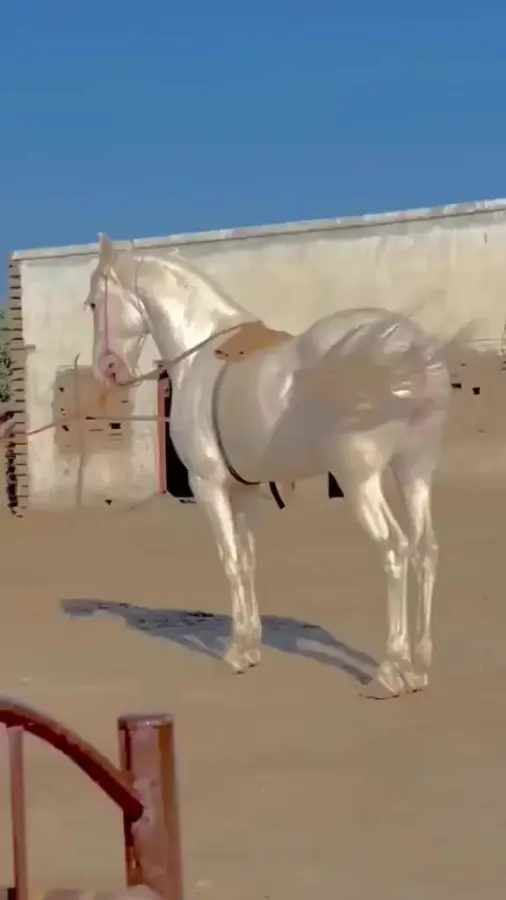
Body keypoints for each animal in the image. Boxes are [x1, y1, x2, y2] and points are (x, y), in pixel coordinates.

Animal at [84, 233, 466, 697]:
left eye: (92, 303)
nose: (107, 370)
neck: (201, 355)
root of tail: (405, 349)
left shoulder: (208, 486)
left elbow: (230, 561)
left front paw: (234, 653)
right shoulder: (246, 491)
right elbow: (248, 561)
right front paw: (250, 647)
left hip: (361, 480)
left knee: (395, 549)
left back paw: (390, 670)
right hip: (414, 472)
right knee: (425, 550)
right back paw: (419, 666)